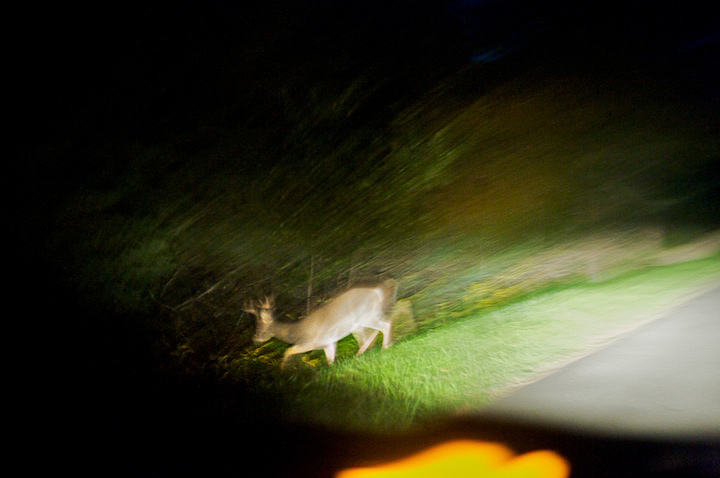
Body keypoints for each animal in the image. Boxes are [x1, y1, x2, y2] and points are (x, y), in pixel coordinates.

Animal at [245, 278, 396, 368]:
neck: (297, 332)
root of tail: (377, 291)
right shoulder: (328, 343)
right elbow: (330, 362)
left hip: (364, 317)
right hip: (364, 320)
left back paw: (384, 347)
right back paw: (366, 352)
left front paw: (283, 370)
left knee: (383, 326)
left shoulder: (312, 342)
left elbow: (288, 350)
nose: (255, 339)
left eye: (259, 326)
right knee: (376, 329)